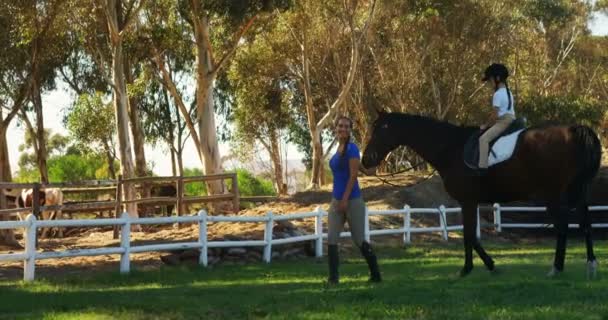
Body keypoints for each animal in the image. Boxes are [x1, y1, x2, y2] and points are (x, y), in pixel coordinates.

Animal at [360, 112, 604, 278]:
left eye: (381, 129)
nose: (366, 159)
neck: (451, 148)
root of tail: (574, 131)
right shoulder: (471, 202)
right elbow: (471, 235)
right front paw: (481, 266)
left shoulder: (467, 201)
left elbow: (469, 235)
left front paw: (473, 267)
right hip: (580, 193)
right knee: (586, 224)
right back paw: (591, 264)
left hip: (553, 196)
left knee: (563, 227)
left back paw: (557, 267)